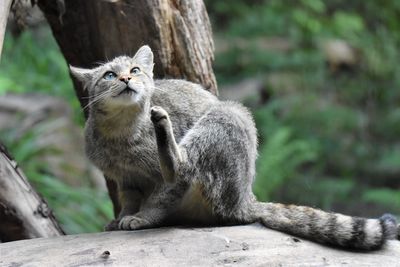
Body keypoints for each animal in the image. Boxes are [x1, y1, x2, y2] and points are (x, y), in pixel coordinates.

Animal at [69, 45, 396, 250]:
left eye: (136, 69)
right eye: (109, 75)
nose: (126, 78)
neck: (121, 134)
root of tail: (246, 198)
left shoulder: (162, 184)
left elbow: (159, 200)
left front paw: (142, 218)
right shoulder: (125, 180)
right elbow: (129, 201)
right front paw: (120, 219)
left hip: (226, 116)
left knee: (182, 165)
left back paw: (166, 135)